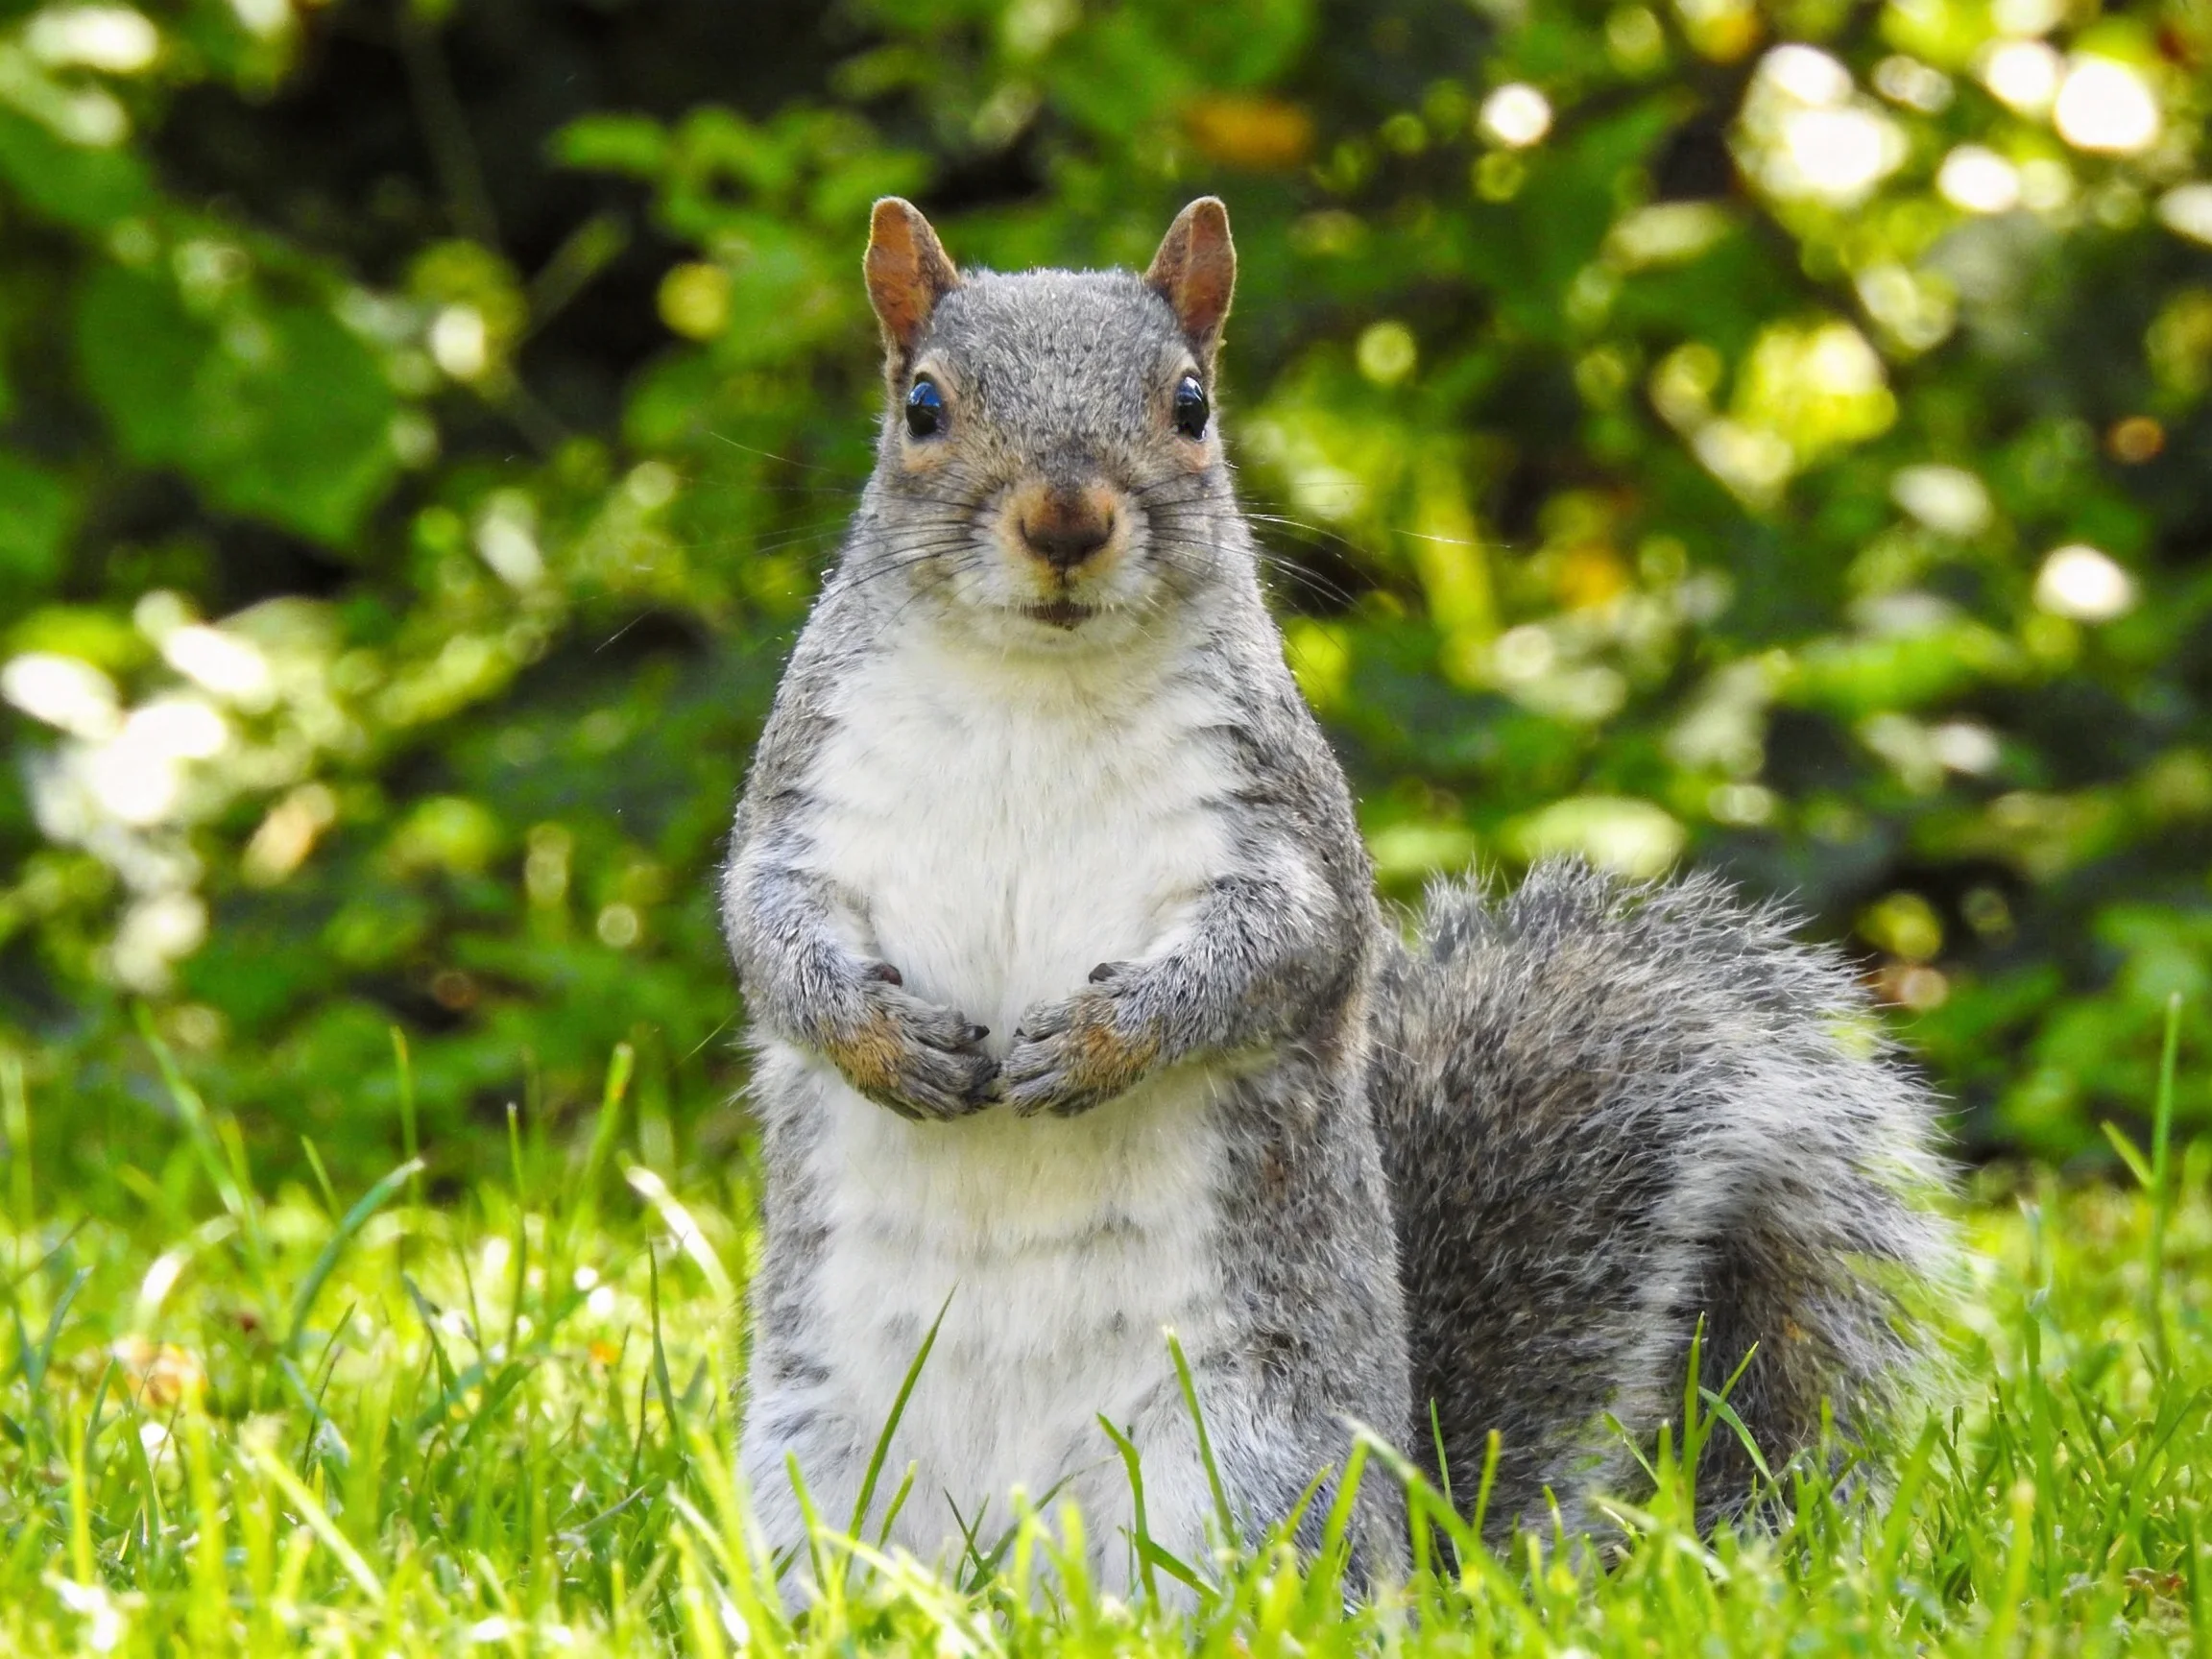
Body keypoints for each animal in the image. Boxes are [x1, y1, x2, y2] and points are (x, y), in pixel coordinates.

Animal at [719, 196, 1951, 1590]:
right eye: (922, 407)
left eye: (1191, 404)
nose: (1067, 522)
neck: (1036, 682)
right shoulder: (801, 804)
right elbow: (764, 935)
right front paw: (881, 1042)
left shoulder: (1285, 831)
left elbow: (1277, 954)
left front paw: (1099, 1044)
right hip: (812, 1463)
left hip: (1244, 1465)